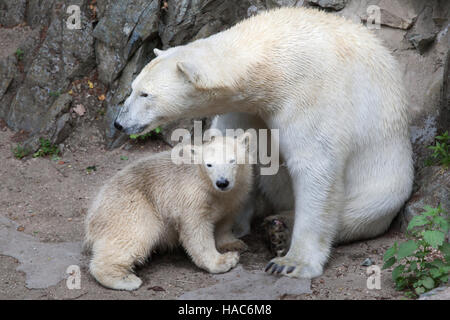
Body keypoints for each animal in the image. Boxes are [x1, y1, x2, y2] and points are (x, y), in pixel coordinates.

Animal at [114, 7, 414, 278]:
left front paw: (292, 263)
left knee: (361, 209)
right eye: (133, 87)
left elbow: (316, 166)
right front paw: (230, 221)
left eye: (145, 94)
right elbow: (241, 149)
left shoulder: (309, 92)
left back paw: (280, 230)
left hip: (386, 178)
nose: (119, 122)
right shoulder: (247, 106)